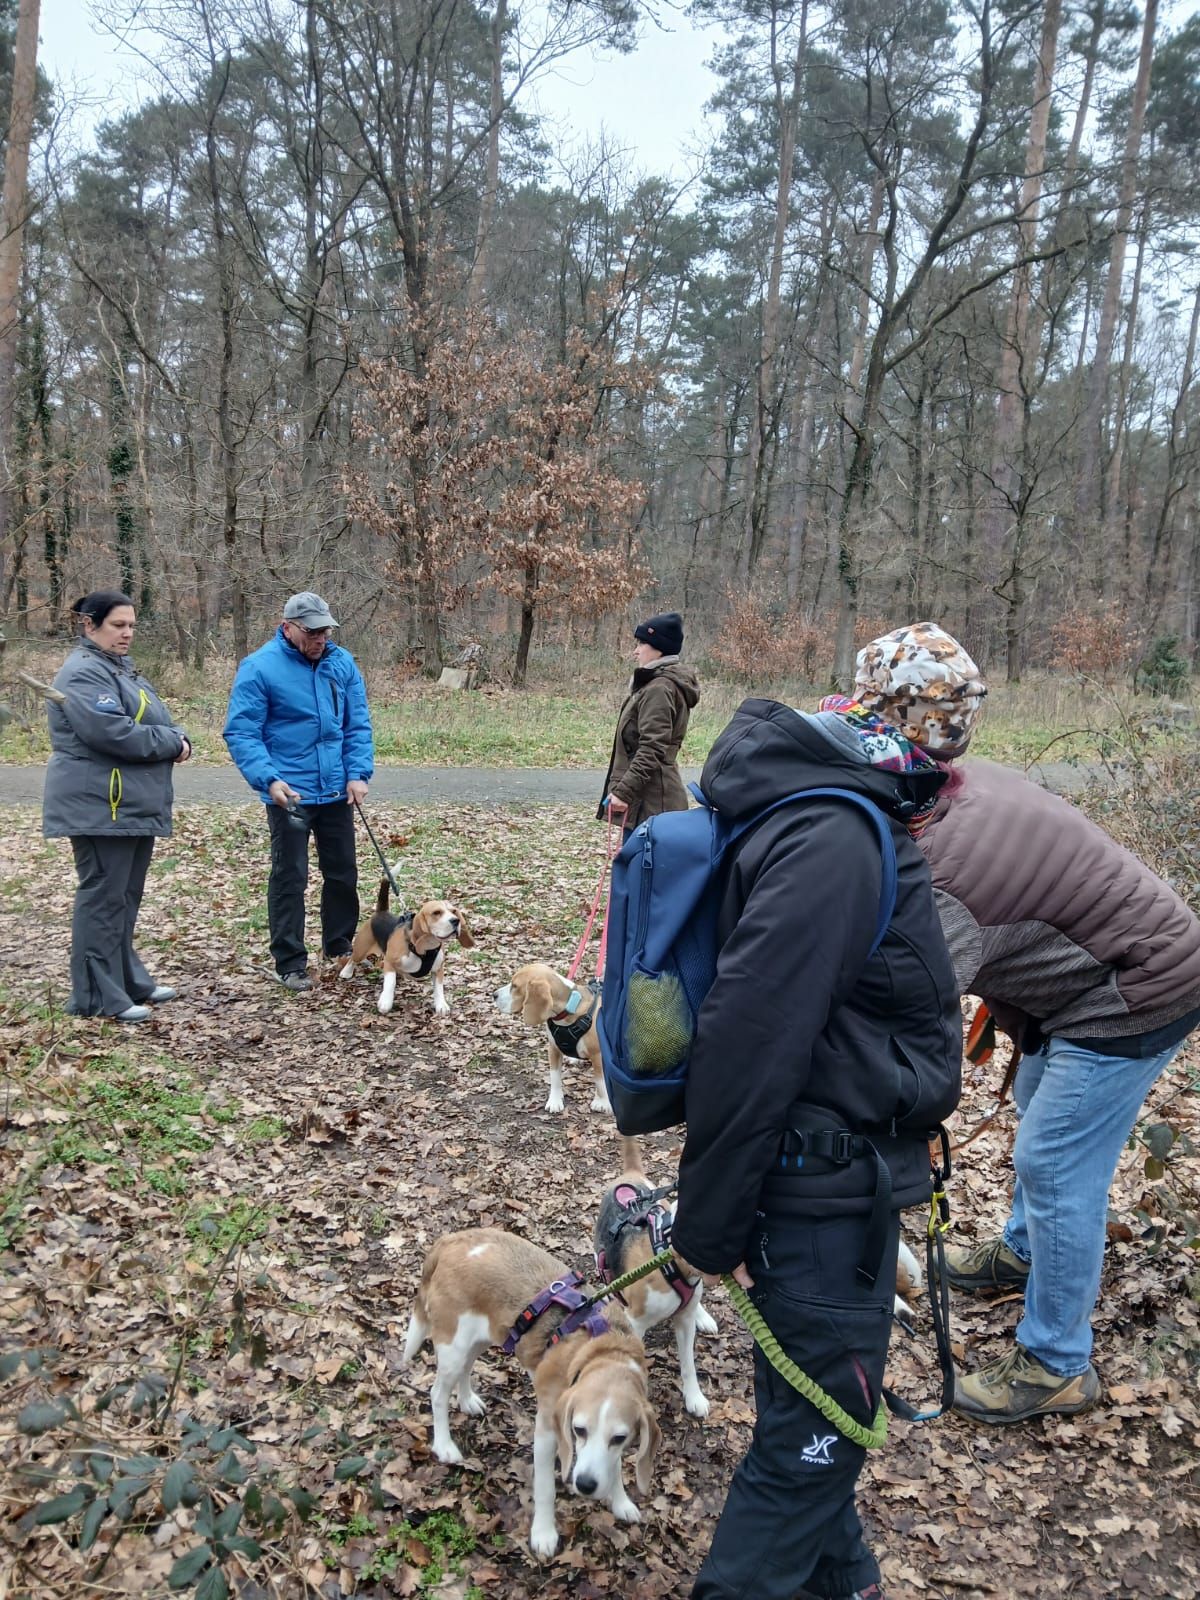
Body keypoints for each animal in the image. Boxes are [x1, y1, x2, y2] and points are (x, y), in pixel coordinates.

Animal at [340, 877, 474, 1014]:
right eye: (436, 913)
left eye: (454, 912)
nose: (456, 920)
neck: (427, 948)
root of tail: (381, 912)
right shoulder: (390, 962)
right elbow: (390, 982)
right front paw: (385, 1002)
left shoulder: (438, 969)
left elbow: (439, 988)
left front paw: (441, 1005)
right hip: (361, 949)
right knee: (353, 958)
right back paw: (346, 972)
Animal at [402, 1227, 660, 1560]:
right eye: (579, 1430)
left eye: (619, 1438)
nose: (586, 1485)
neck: (605, 1353)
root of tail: (454, 1240)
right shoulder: (549, 1431)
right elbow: (546, 1489)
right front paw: (544, 1534)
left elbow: (613, 1466)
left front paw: (620, 1501)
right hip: (453, 1348)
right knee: (436, 1394)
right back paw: (444, 1445)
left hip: (481, 1338)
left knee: (466, 1370)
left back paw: (468, 1400)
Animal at [495, 961, 610, 1115]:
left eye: (515, 986)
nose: (493, 995)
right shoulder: (553, 1049)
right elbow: (554, 1078)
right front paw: (555, 1101)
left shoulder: (598, 1055)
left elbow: (600, 1081)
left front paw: (602, 1102)